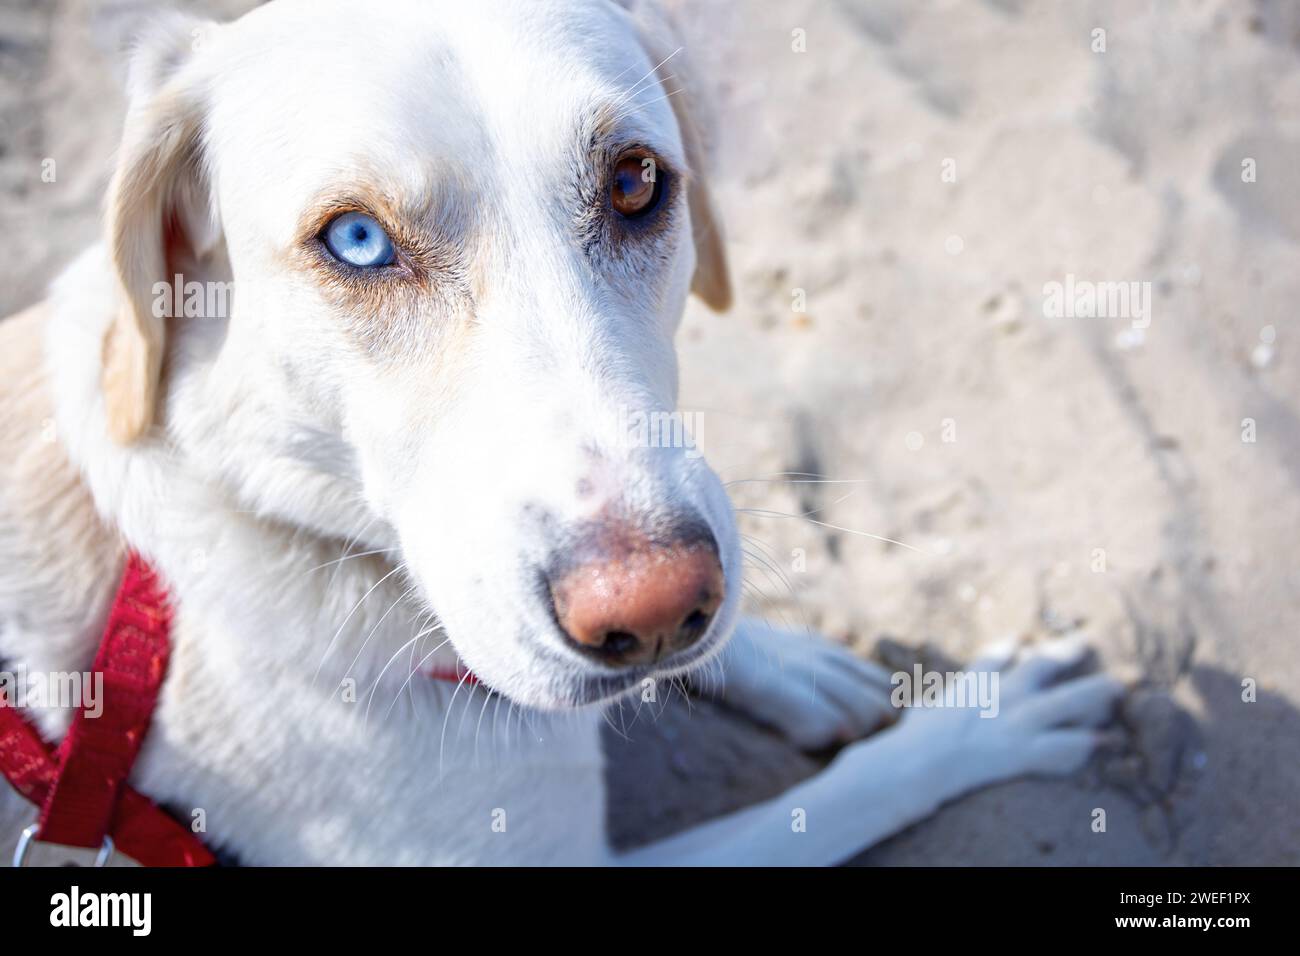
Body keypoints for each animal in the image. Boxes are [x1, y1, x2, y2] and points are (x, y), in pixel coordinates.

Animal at [0, 0, 1118, 868]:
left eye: (635, 182)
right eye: (355, 240)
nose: (655, 609)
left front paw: (793, 661)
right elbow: (833, 803)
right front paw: (977, 723)